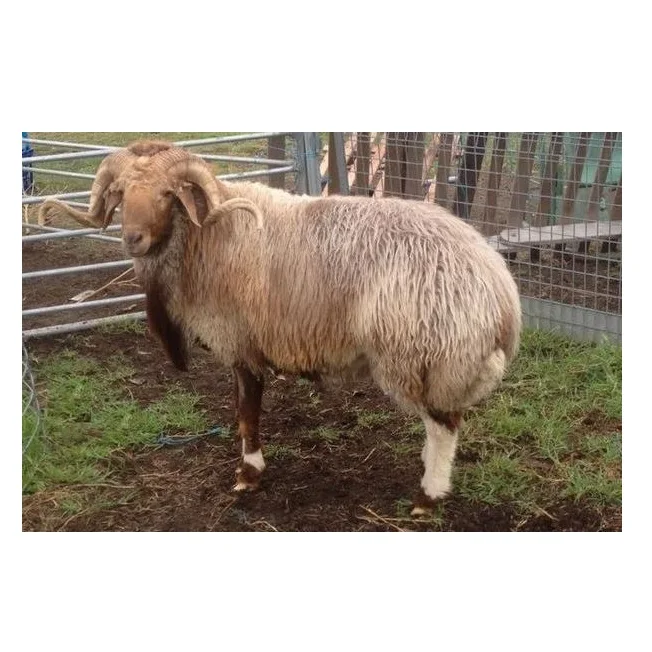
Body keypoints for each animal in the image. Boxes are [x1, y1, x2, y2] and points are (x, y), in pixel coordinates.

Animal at [40, 139, 522, 515]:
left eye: (166, 193)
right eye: (120, 192)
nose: (132, 240)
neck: (206, 236)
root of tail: (501, 292)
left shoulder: (240, 341)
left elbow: (246, 413)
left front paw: (248, 474)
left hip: (423, 354)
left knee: (444, 426)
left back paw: (428, 496)